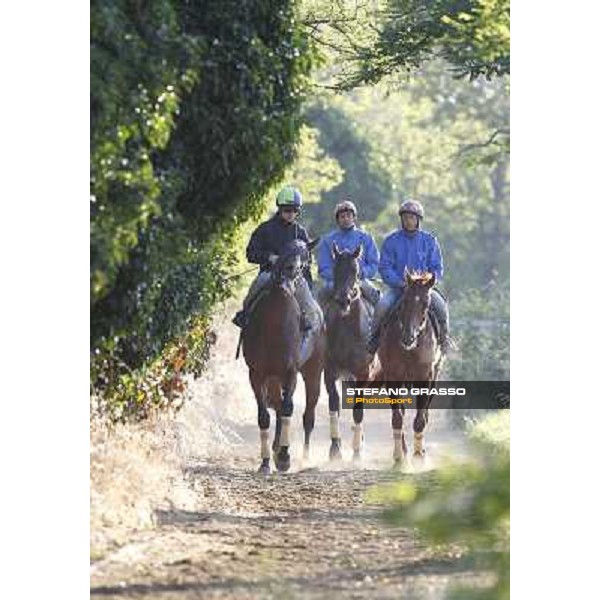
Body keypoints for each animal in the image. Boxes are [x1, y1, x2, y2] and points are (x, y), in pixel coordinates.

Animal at [240, 239, 326, 474]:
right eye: (284, 251)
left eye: (305, 256)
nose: (288, 270)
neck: (274, 321)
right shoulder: (257, 374)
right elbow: (264, 416)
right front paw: (265, 462)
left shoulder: (290, 372)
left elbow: (288, 408)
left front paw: (285, 457)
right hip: (273, 378)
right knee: (277, 407)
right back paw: (275, 450)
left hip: (313, 373)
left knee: (308, 415)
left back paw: (303, 456)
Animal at [322, 244, 378, 460]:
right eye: (335, 269)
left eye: (355, 270)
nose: (343, 300)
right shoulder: (329, 372)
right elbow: (334, 405)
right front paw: (335, 449)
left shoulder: (363, 374)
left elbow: (358, 410)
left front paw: (356, 454)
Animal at [378, 270, 442, 466]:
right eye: (405, 301)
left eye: (426, 303)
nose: (408, 338)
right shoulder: (393, 378)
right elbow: (397, 417)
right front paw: (399, 457)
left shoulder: (425, 379)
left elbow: (420, 419)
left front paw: (419, 456)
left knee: (425, 414)